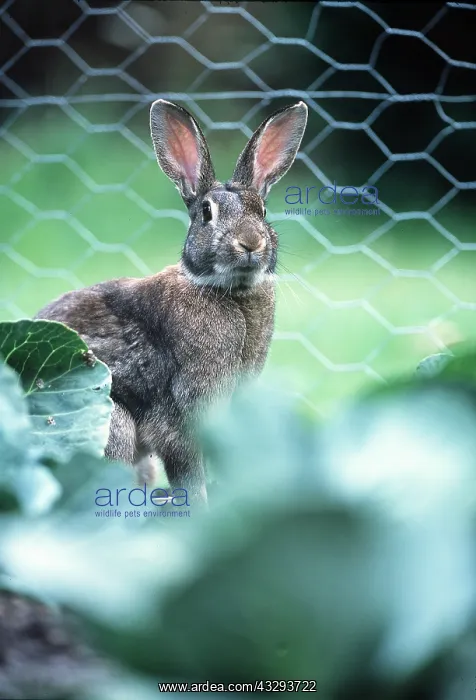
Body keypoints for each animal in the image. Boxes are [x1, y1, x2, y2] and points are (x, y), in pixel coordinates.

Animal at [35, 99, 308, 505]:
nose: (250, 242)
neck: (229, 291)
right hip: (109, 426)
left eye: (262, 210)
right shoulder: (185, 417)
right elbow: (190, 476)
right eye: (206, 213)